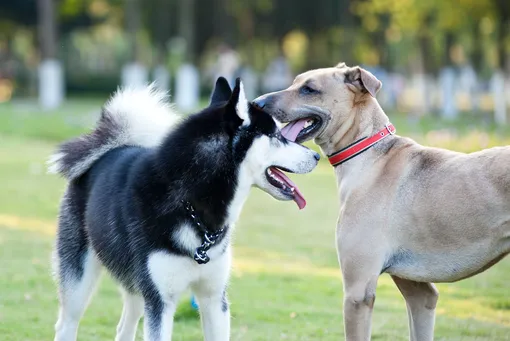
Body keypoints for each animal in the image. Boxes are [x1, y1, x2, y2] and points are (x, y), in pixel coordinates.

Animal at [48, 77, 318, 340]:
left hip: (136, 285)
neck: (193, 205)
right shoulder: (160, 302)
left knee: (125, 327)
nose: (316, 156)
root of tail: (109, 148)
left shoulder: (214, 298)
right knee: (66, 324)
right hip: (80, 281)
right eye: (276, 135)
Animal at [254, 62, 510, 338]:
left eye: (309, 89)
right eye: (294, 82)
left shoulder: (358, 293)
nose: (257, 103)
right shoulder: (420, 293)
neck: (369, 155)